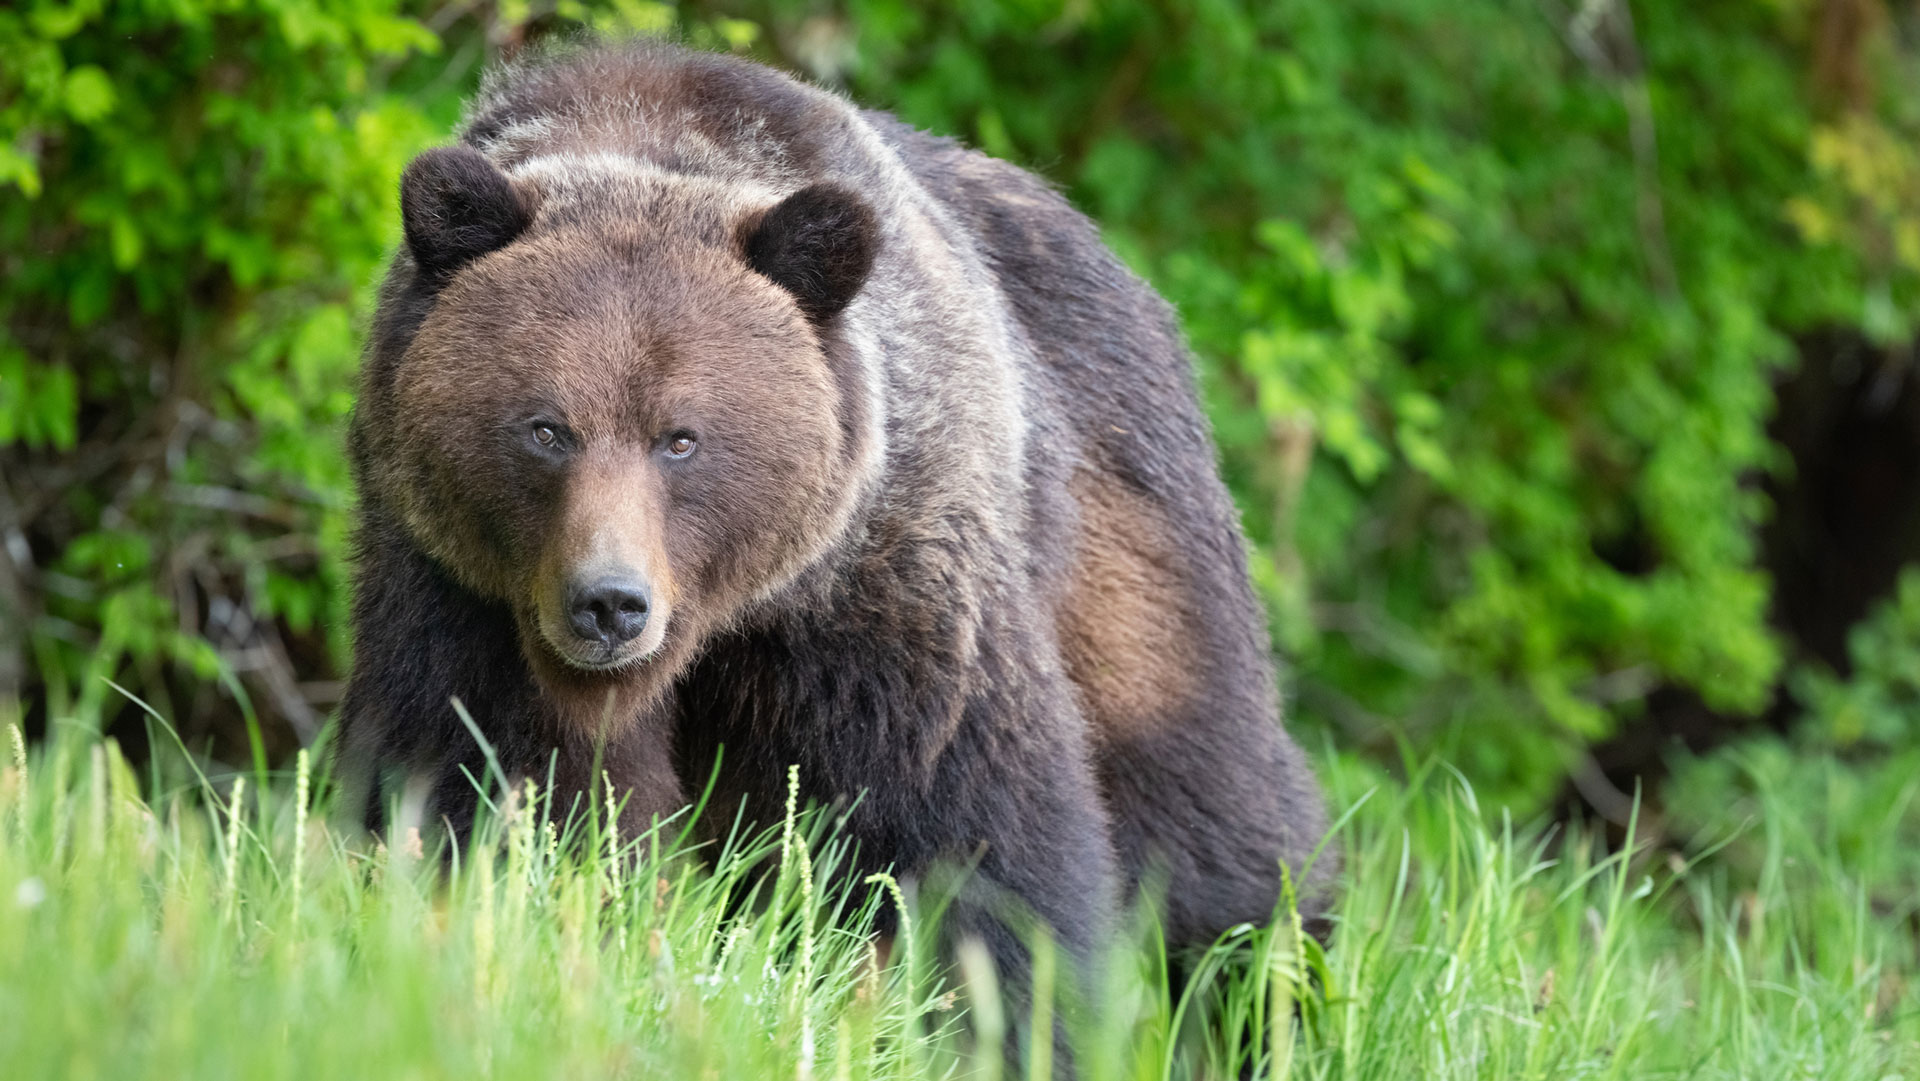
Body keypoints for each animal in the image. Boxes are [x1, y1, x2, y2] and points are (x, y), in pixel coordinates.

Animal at [337, 42, 1336, 1006]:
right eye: (546, 427)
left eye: (682, 437)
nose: (610, 603)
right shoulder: (462, 592)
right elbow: (497, 787)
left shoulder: (886, 578)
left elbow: (969, 828)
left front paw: (1004, 1007)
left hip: (1127, 529)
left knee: (1210, 814)